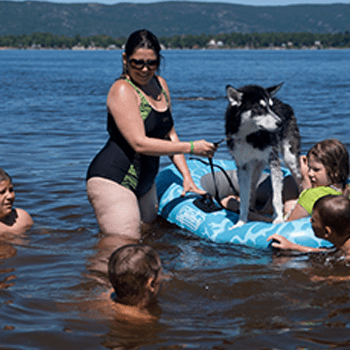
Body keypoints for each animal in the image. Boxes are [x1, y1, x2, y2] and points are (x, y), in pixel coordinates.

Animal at [226, 84, 302, 227]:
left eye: (271, 107)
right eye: (260, 108)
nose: (281, 123)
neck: (250, 136)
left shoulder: (273, 160)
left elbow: (276, 196)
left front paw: (278, 218)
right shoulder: (243, 166)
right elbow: (244, 197)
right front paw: (241, 221)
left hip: (290, 157)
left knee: (300, 179)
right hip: (255, 166)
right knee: (253, 185)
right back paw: (253, 208)